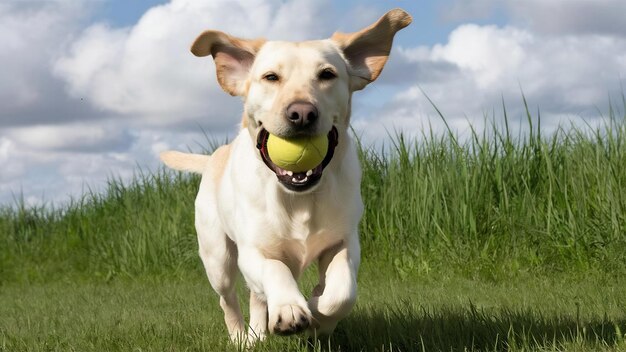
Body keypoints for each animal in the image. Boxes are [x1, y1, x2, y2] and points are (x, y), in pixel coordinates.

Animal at [160, 8, 410, 342]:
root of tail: (215, 157)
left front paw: (316, 307)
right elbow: (273, 270)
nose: (302, 114)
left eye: (327, 74)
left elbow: (341, 293)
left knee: (257, 297)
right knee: (229, 299)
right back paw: (242, 338)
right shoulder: (253, 252)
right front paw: (291, 309)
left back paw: (260, 331)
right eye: (271, 77)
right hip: (217, 258)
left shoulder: (344, 241)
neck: (297, 198)